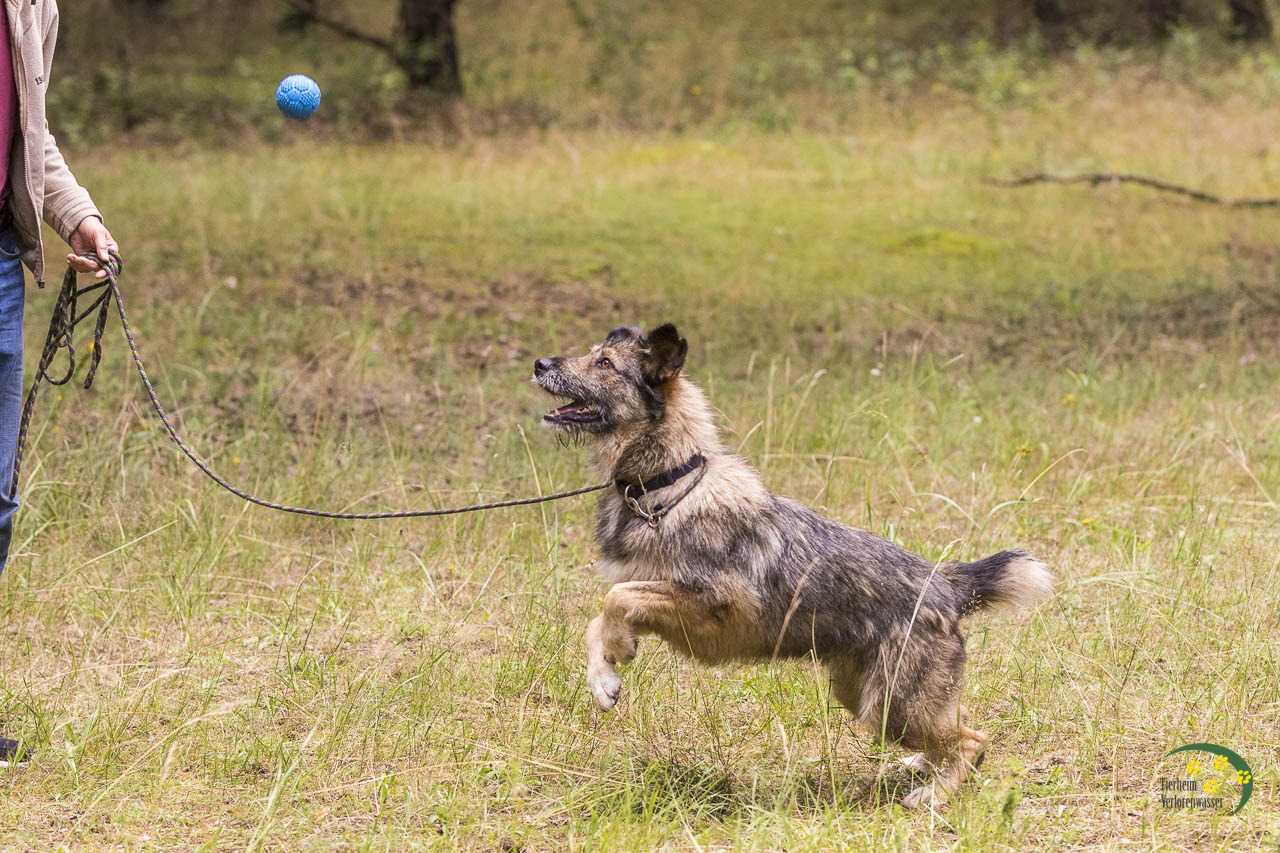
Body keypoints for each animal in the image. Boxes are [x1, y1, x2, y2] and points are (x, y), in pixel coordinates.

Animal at [532, 323, 1052, 809]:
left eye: (604, 363)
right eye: (593, 354)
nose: (539, 363)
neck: (667, 484)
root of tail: (944, 584)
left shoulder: (713, 603)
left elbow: (615, 599)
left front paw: (615, 656)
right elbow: (597, 620)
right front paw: (603, 677)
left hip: (893, 702)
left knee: (974, 741)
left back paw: (935, 794)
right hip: (864, 695)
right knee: (952, 731)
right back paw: (919, 764)